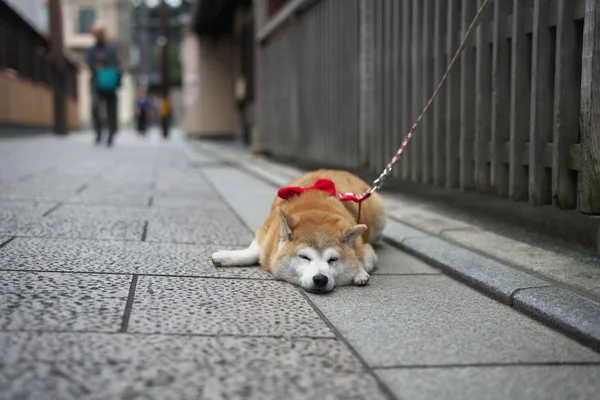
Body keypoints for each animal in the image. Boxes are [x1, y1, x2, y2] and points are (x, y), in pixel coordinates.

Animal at [211, 170, 390, 294]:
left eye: (333, 259)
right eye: (304, 257)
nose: (320, 279)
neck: (315, 209)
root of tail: (346, 172)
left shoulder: (364, 247)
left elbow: (363, 258)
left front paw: (359, 272)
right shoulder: (265, 233)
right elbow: (253, 252)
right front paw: (225, 256)